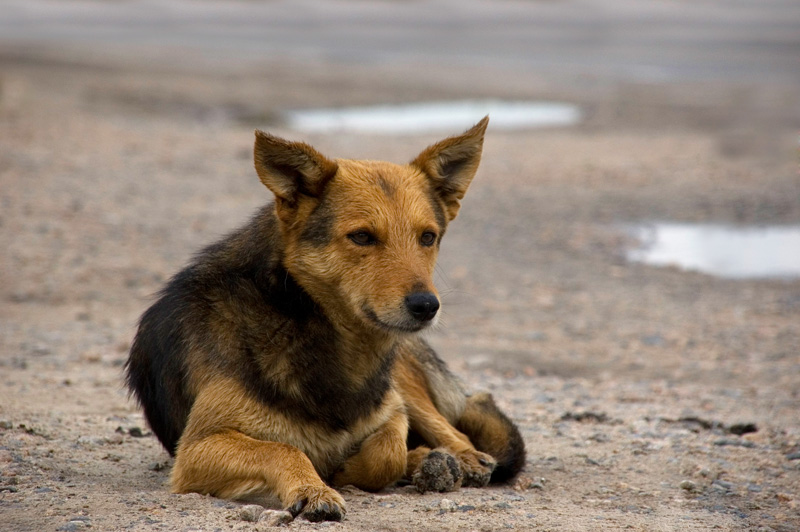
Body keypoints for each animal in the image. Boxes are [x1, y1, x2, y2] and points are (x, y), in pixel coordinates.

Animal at [125, 117, 524, 524]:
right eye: (361, 237)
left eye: (428, 237)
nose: (426, 306)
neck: (303, 319)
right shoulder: (197, 448)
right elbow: (282, 449)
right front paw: (314, 487)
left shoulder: (392, 411)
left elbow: (387, 452)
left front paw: (347, 468)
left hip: (405, 379)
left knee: (455, 434)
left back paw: (459, 458)